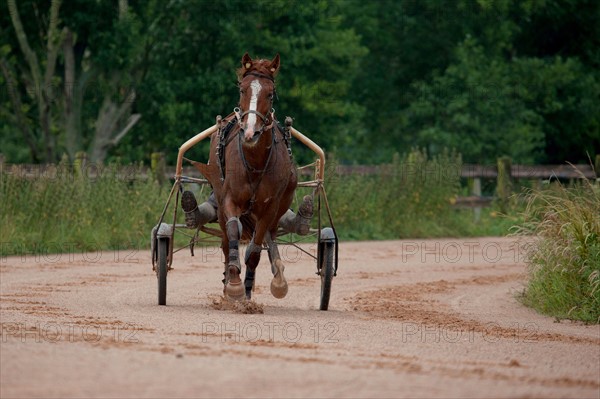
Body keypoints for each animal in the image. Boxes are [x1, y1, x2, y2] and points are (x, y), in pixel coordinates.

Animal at [198, 53, 298, 300]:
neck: (255, 163)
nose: (250, 132)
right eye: (243, 90)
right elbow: (233, 232)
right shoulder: (230, 200)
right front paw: (233, 284)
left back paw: (274, 277)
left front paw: (248, 290)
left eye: (270, 93)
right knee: (226, 241)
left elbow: (255, 249)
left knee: (269, 236)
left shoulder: (269, 208)